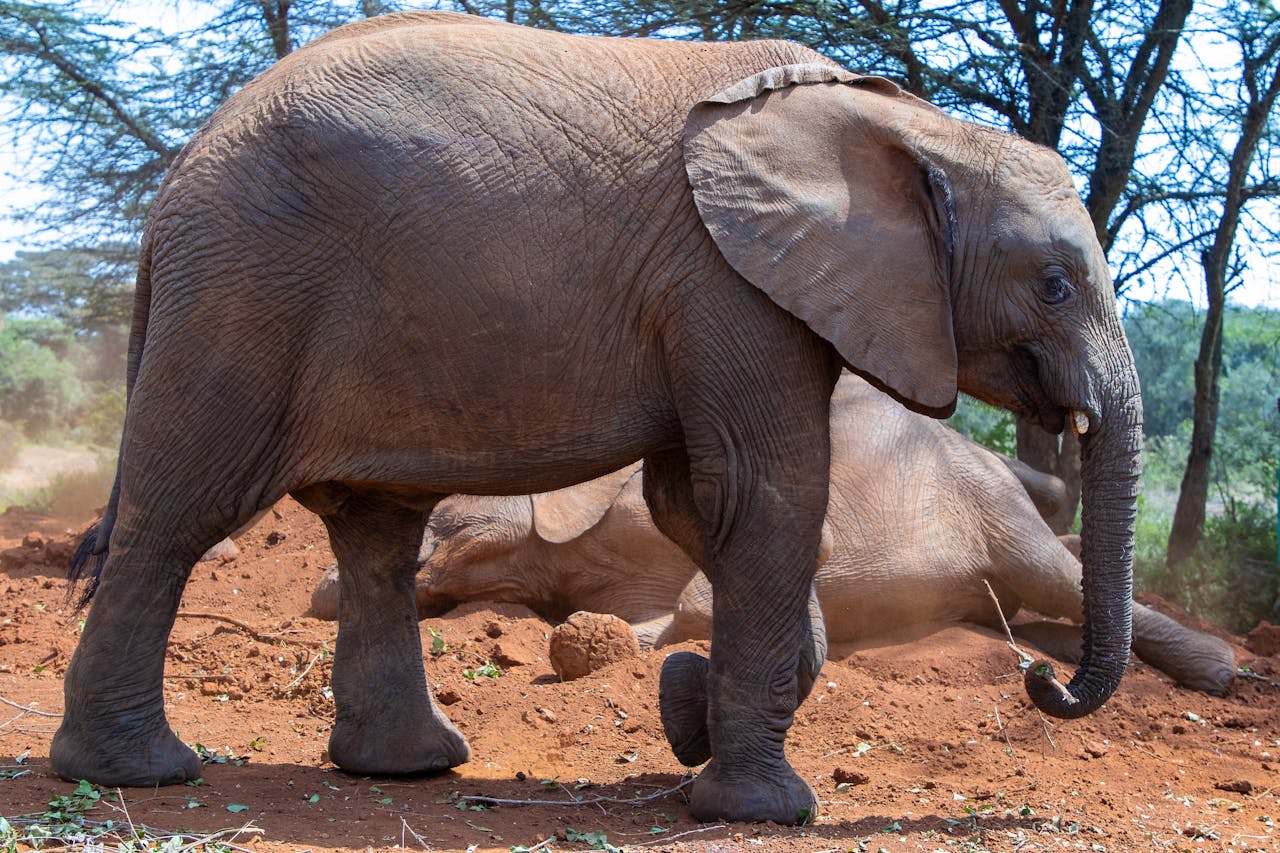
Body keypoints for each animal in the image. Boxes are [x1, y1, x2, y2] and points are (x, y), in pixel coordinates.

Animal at [310, 374, 1232, 697]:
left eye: (445, 511)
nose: (319, 593)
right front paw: (601, 636)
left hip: (991, 502)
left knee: (1055, 573)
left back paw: (1221, 672)